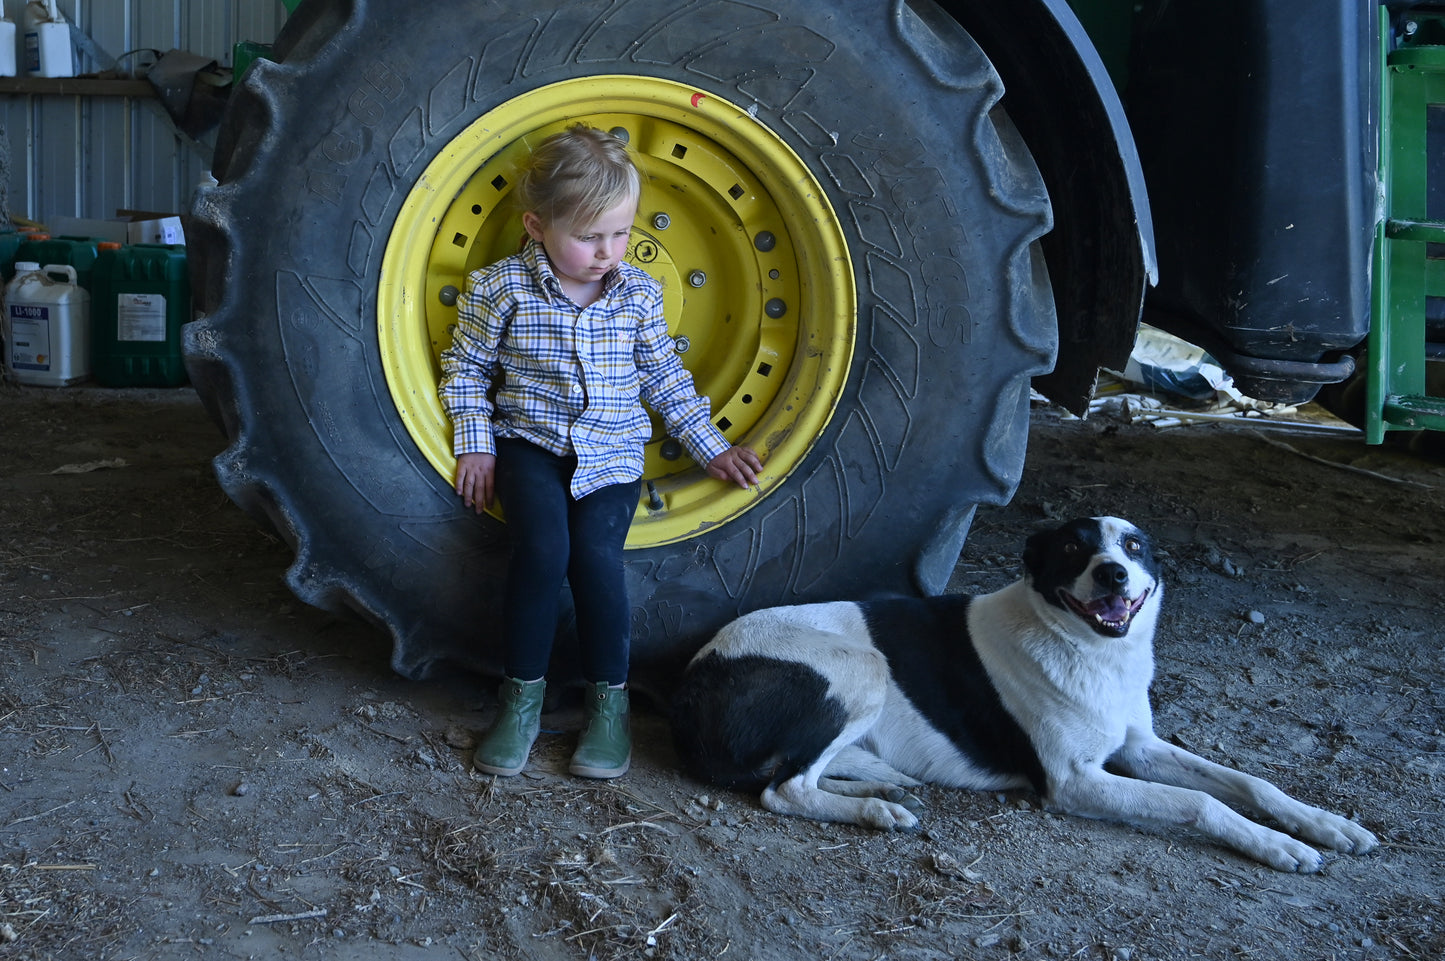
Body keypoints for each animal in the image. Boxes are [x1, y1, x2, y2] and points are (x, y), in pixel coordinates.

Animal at [673, 517, 1375, 867]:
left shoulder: (1139, 748)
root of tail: (694, 679)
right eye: (1070, 547)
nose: (1114, 574)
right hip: (863, 666)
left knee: (810, 774)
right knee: (785, 789)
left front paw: (1326, 825)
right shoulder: (1075, 782)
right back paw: (874, 811)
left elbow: (1250, 783)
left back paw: (881, 789)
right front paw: (1281, 846)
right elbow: (1202, 805)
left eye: (1135, 546)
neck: (1091, 651)